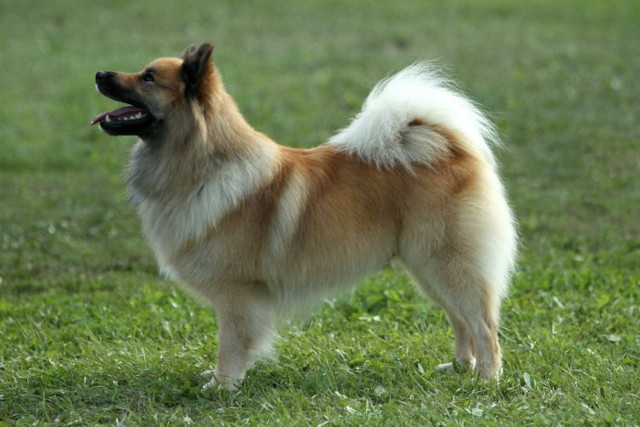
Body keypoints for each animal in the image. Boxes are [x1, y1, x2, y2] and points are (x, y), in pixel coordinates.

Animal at [92, 42, 516, 392]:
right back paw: (460, 366)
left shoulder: (237, 292)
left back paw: (487, 379)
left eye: (148, 77)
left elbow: (231, 343)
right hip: (427, 270)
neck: (202, 166)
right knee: (460, 320)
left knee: (483, 324)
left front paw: (223, 384)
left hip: (445, 263)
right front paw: (220, 378)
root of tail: (451, 149)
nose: (99, 74)